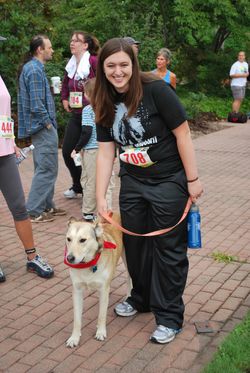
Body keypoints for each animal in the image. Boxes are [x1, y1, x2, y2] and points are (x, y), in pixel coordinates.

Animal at [65, 214, 129, 348]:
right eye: (68, 239)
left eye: (82, 240)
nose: (69, 258)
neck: (88, 264)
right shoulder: (77, 291)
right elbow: (77, 319)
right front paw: (74, 338)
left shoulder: (104, 290)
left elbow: (101, 315)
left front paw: (100, 332)